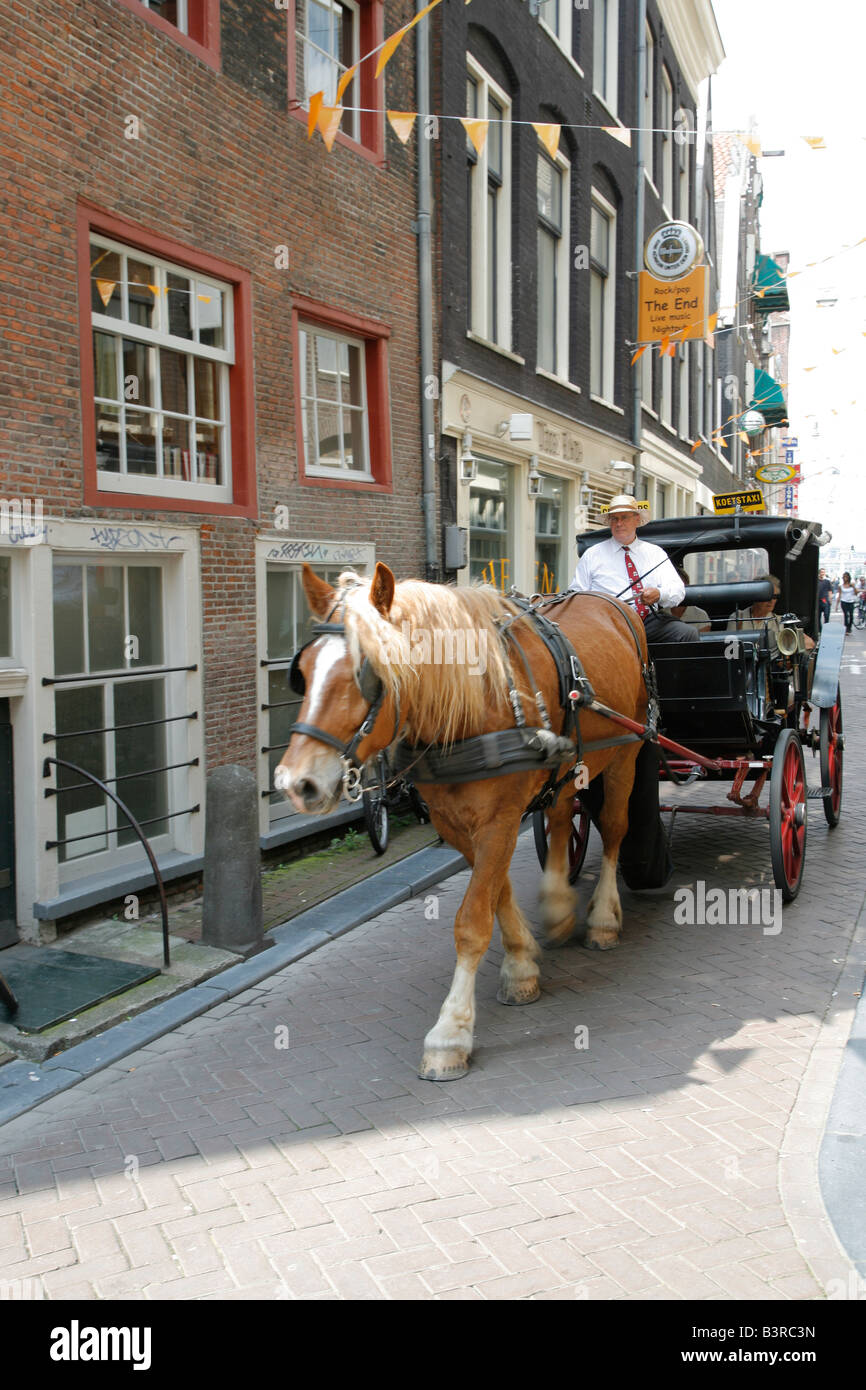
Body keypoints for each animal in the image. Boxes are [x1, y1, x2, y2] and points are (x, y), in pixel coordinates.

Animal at [275, 562, 649, 1082]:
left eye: (368, 673)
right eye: (304, 671)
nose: (296, 783)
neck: (476, 701)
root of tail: (615, 602)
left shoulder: (499, 819)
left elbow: (472, 921)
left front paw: (449, 1035)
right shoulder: (460, 825)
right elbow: (496, 894)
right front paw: (522, 964)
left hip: (626, 755)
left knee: (614, 829)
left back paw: (602, 921)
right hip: (568, 768)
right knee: (559, 820)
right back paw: (558, 909)